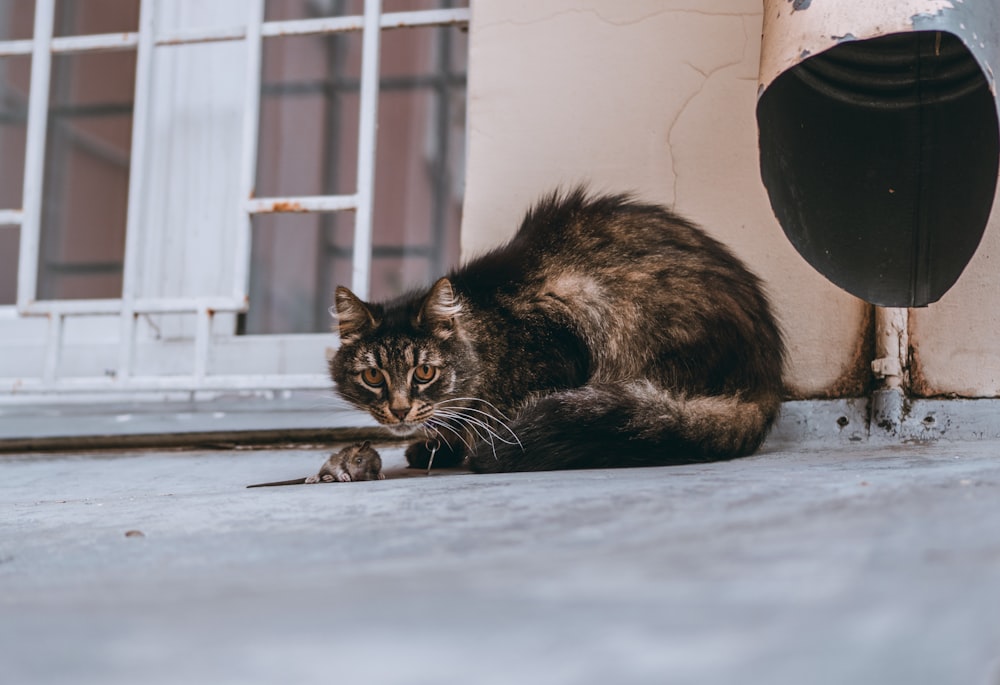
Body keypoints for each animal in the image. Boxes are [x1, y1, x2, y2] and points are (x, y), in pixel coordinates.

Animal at [332, 187, 784, 470]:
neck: (487, 335)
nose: (399, 409)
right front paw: (439, 446)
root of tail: (763, 384)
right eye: (373, 376)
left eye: (424, 372)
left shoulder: (556, 348)